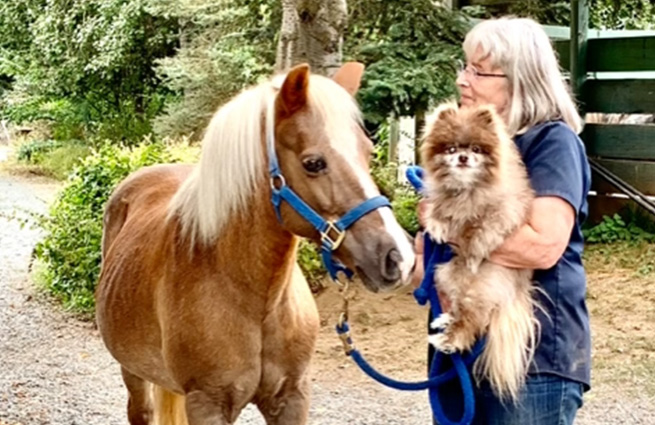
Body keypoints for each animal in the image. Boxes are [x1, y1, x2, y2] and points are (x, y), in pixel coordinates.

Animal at [95, 63, 416, 424]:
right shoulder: (207, 404)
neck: (257, 298)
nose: (399, 257)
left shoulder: (292, 398)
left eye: (368, 153)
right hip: (134, 374)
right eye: (313, 163)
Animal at [420, 102, 540, 400]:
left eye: (475, 149)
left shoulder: (504, 210)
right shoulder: (441, 199)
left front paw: (471, 249)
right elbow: (440, 210)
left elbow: (478, 228)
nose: (463, 157)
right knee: (459, 309)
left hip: (479, 288)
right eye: (451, 149)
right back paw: (445, 320)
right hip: (445, 273)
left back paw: (449, 339)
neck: (467, 189)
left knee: (472, 322)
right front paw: (438, 225)